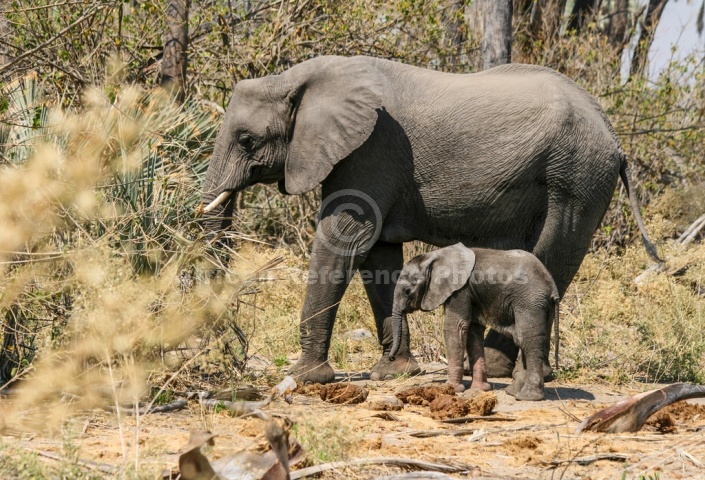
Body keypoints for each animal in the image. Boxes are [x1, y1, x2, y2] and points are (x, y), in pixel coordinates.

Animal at [199, 56, 660, 384]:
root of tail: (615, 138)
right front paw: (396, 372)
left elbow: (345, 239)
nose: (231, 351)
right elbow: (378, 252)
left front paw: (304, 377)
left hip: (575, 179)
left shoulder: (372, 148)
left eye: (247, 140)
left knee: (551, 253)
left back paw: (505, 370)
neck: (295, 78)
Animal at [388, 244, 560, 402]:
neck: (435, 256)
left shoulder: (460, 290)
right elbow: (473, 332)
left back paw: (527, 397)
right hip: (541, 306)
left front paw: (451, 388)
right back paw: (513, 392)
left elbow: (455, 328)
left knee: (527, 340)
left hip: (530, 302)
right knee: (527, 338)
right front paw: (480, 389)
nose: (391, 358)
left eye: (407, 291)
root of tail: (553, 288)